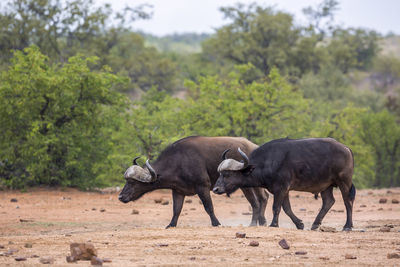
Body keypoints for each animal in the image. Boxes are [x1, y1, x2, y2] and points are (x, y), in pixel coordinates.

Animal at [119, 137, 268, 229]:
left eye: (132, 182)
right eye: (126, 180)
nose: (120, 197)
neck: (179, 161)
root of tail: (254, 146)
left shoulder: (203, 187)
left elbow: (209, 207)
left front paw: (216, 223)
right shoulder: (178, 191)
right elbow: (176, 210)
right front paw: (171, 224)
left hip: (246, 185)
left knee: (255, 202)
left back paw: (254, 223)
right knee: (263, 198)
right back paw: (262, 221)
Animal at [214, 138, 354, 232]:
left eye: (227, 174)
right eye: (220, 173)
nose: (216, 189)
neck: (268, 162)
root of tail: (346, 148)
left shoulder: (280, 188)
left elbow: (276, 207)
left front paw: (274, 224)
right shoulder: (284, 190)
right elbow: (287, 208)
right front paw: (299, 224)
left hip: (344, 181)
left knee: (348, 202)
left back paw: (347, 226)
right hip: (325, 186)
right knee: (328, 201)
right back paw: (315, 224)